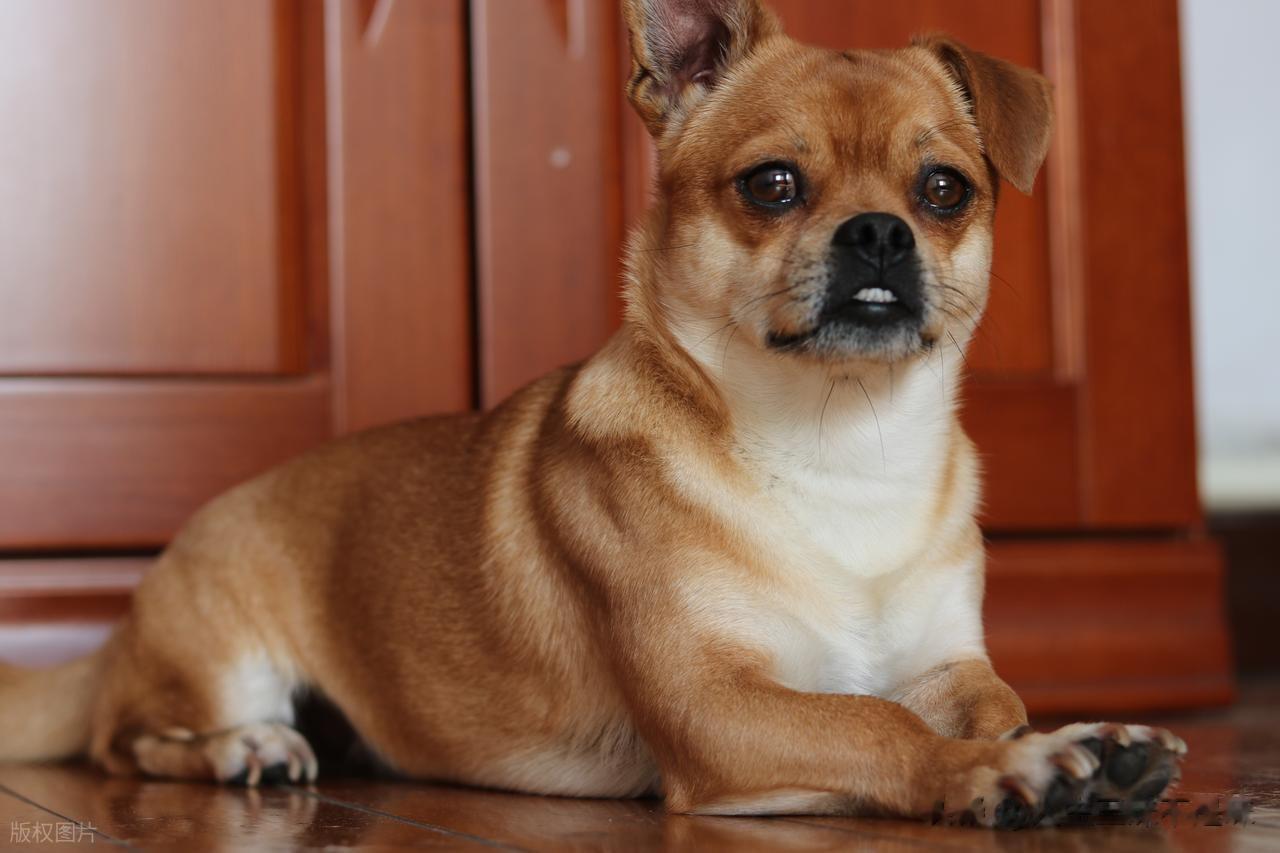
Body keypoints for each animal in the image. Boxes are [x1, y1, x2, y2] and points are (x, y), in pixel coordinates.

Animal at [0, 0, 1184, 828]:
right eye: (770, 185)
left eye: (944, 192)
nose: (880, 234)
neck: (836, 439)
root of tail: (129, 614)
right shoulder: (717, 706)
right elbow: (874, 720)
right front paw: (1011, 768)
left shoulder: (952, 665)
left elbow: (986, 697)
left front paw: (1076, 738)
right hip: (217, 665)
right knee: (126, 740)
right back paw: (243, 747)